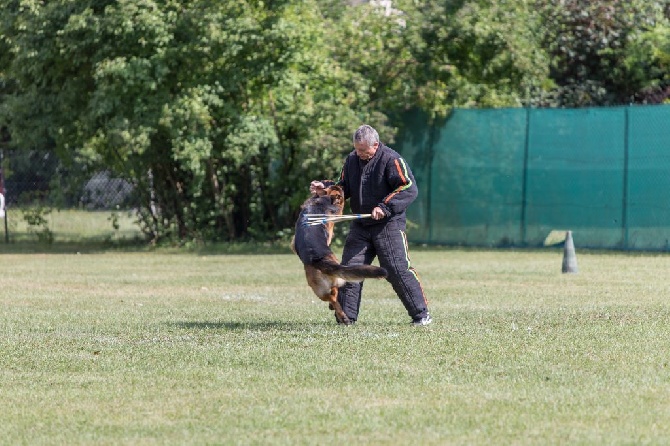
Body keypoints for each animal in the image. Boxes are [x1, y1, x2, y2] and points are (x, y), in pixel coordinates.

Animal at [292, 185, 388, 324]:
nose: (341, 185)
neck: (323, 202)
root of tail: (320, 259)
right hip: (335, 279)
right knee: (334, 291)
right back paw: (341, 314)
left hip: (317, 289)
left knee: (331, 297)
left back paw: (340, 313)